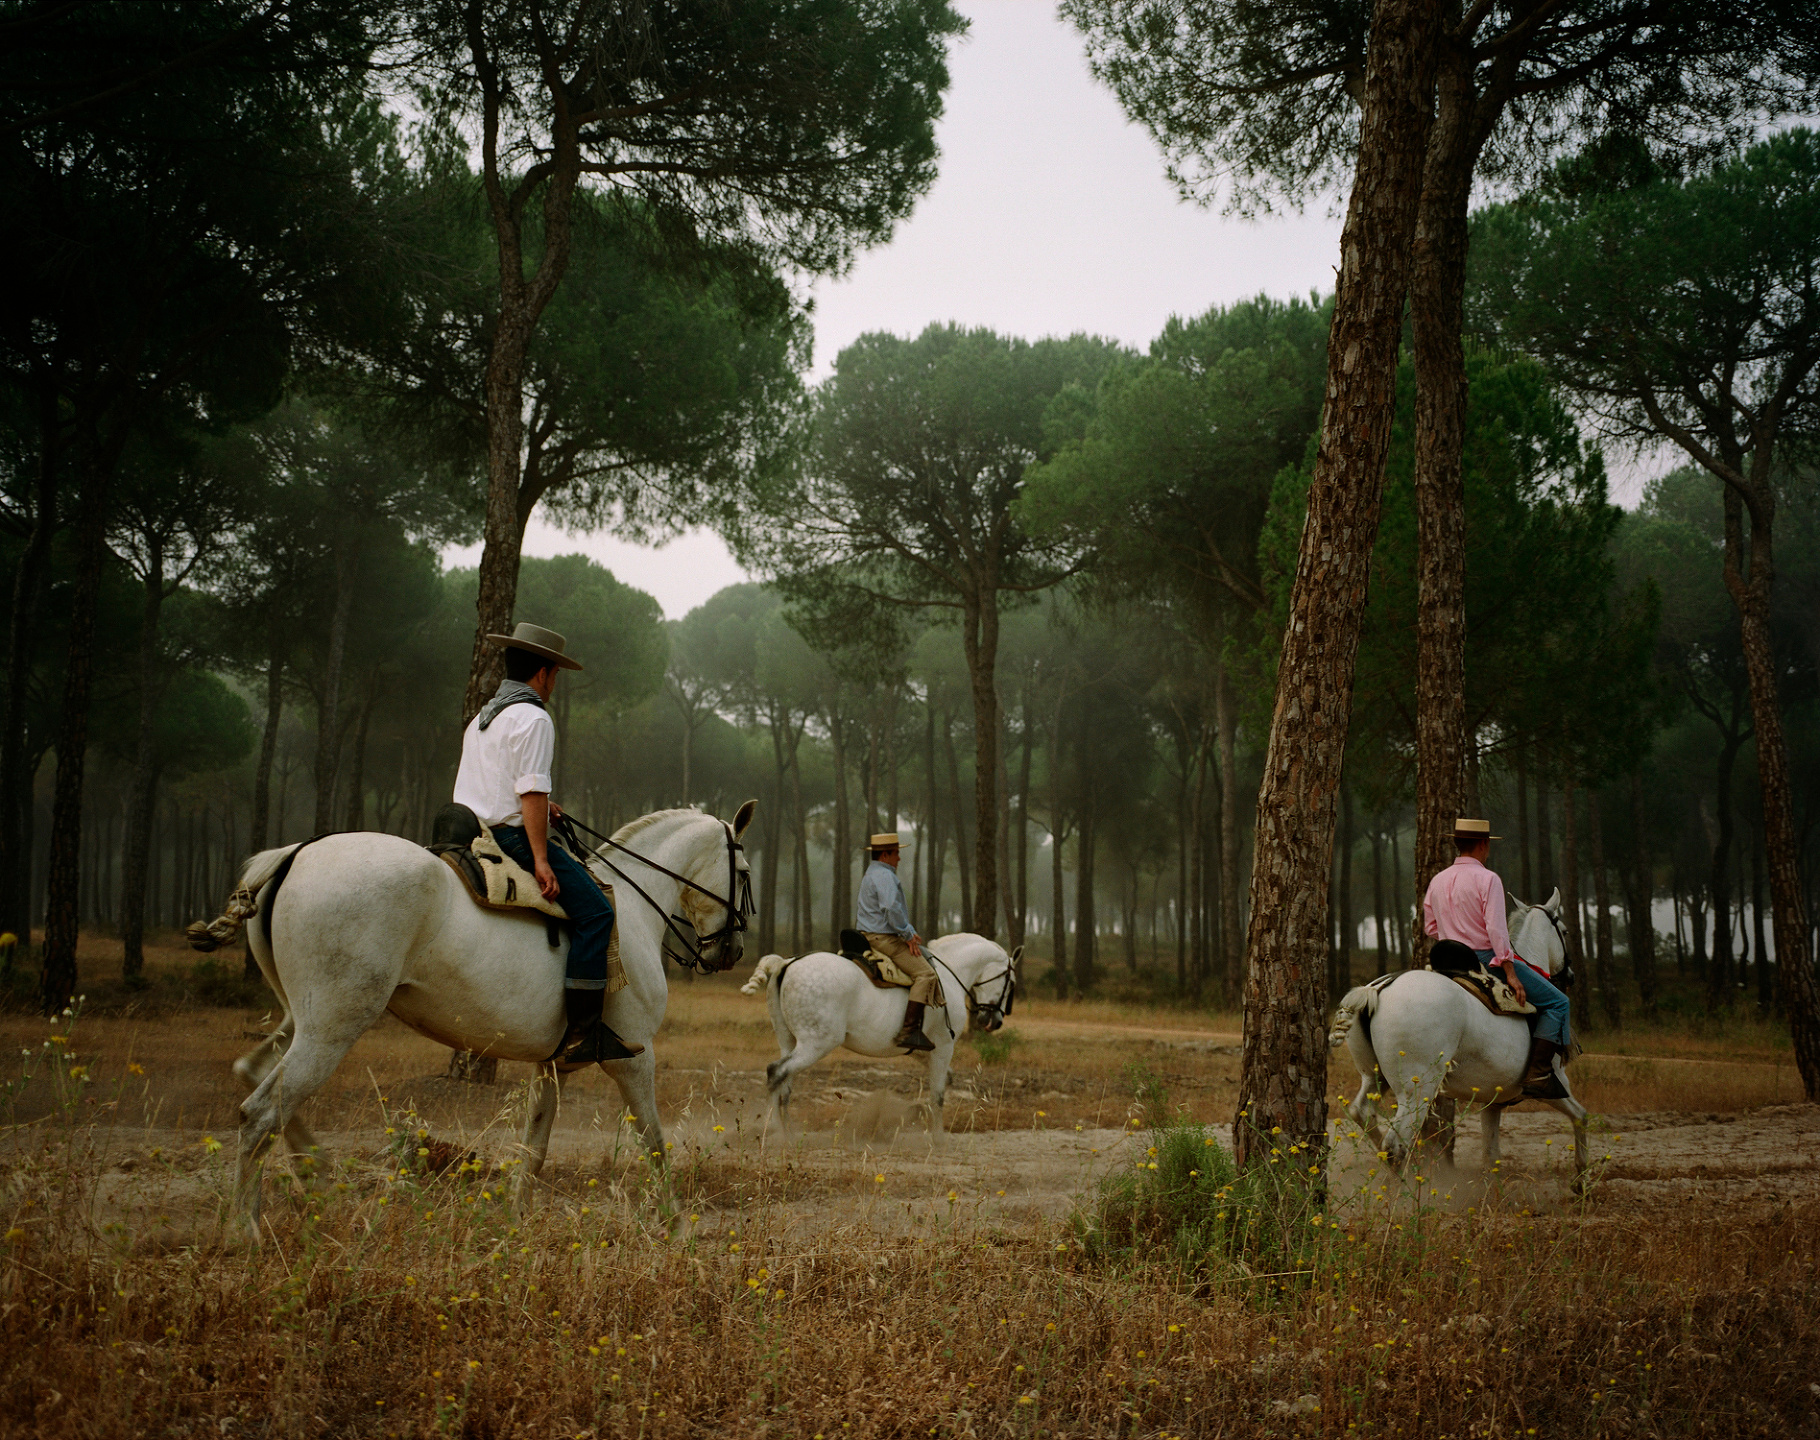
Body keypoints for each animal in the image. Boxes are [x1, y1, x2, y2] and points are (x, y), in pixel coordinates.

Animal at [202, 803, 754, 1241]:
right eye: (746, 872)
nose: (731, 950)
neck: (634, 907)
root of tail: (296, 853)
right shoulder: (635, 1056)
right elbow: (654, 1141)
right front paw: (678, 1227)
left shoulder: (553, 1064)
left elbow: (534, 1146)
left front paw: (515, 1221)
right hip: (333, 1027)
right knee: (260, 1113)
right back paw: (245, 1230)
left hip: (303, 1020)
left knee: (254, 1076)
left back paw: (313, 1175)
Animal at [740, 932, 1020, 1138]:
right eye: (1011, 983)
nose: (994, 1021)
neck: (951, 973)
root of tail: (786, 963)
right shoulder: (943, 1047)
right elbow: (938, 1094)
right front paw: (938, 1136)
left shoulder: (922, 1050)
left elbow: (944, 1081)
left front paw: (916, 1112)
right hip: (815, 1044)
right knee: (776, 1072)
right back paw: (776, 1129)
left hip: (789, 1041)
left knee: (784, 1083)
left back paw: (785, 1130)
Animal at [1328, 889, 1590, 1188]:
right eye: (1565, 931)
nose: (1570, 975)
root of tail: (1380, 988)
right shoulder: (1556, 1085)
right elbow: (1581, 1116)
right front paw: (1581, 1179)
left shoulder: (1493, 1101)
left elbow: (1491, 1155)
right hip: (1417, 1091)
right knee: (1396, 1144)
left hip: (1374, 1077)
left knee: (1363, 1114)